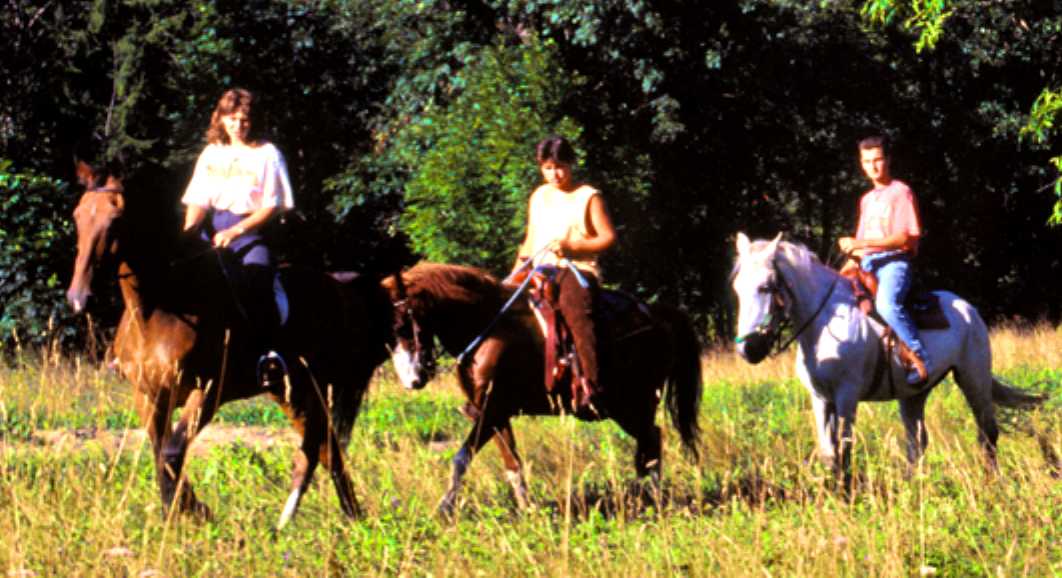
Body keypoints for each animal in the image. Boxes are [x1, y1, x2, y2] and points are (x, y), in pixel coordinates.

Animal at [66, 161, 393, 529]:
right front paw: (184, 512)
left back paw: (344, 517)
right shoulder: (149, 395)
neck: (159, 310)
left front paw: (185, 514)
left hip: (319, 387)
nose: (79, 298)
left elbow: (171, 453)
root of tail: (341, 290)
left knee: (325, 448)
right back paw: (348, 517)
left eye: (116, 219)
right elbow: (159, 452)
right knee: (327, 449)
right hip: (291, 393)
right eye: (78, 215)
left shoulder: (207, 391)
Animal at [382, 262, 702, 514]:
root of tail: (656, 314)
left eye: (400, 326)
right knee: (649, 443)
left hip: (632, 404)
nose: (413, 379)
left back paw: (653, 497)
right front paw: (527, 508)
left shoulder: (492, 410)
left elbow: (461, 458)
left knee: (652, 440)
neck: (485, 327)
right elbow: (512, 463)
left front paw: (444, 509)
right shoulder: (494, 412)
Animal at [730, 232, 1046, 479]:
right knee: (917, 441)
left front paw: (847, 497)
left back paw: (991, 482)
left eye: (766, 286)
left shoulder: (847, 395)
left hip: (973, 378)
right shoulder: (820, 398)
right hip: (914, 395)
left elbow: (845, 450)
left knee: (987, 433)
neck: (823, 324)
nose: (748, 349)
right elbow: (829, 454)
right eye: (737, 288)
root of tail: (969, 309)